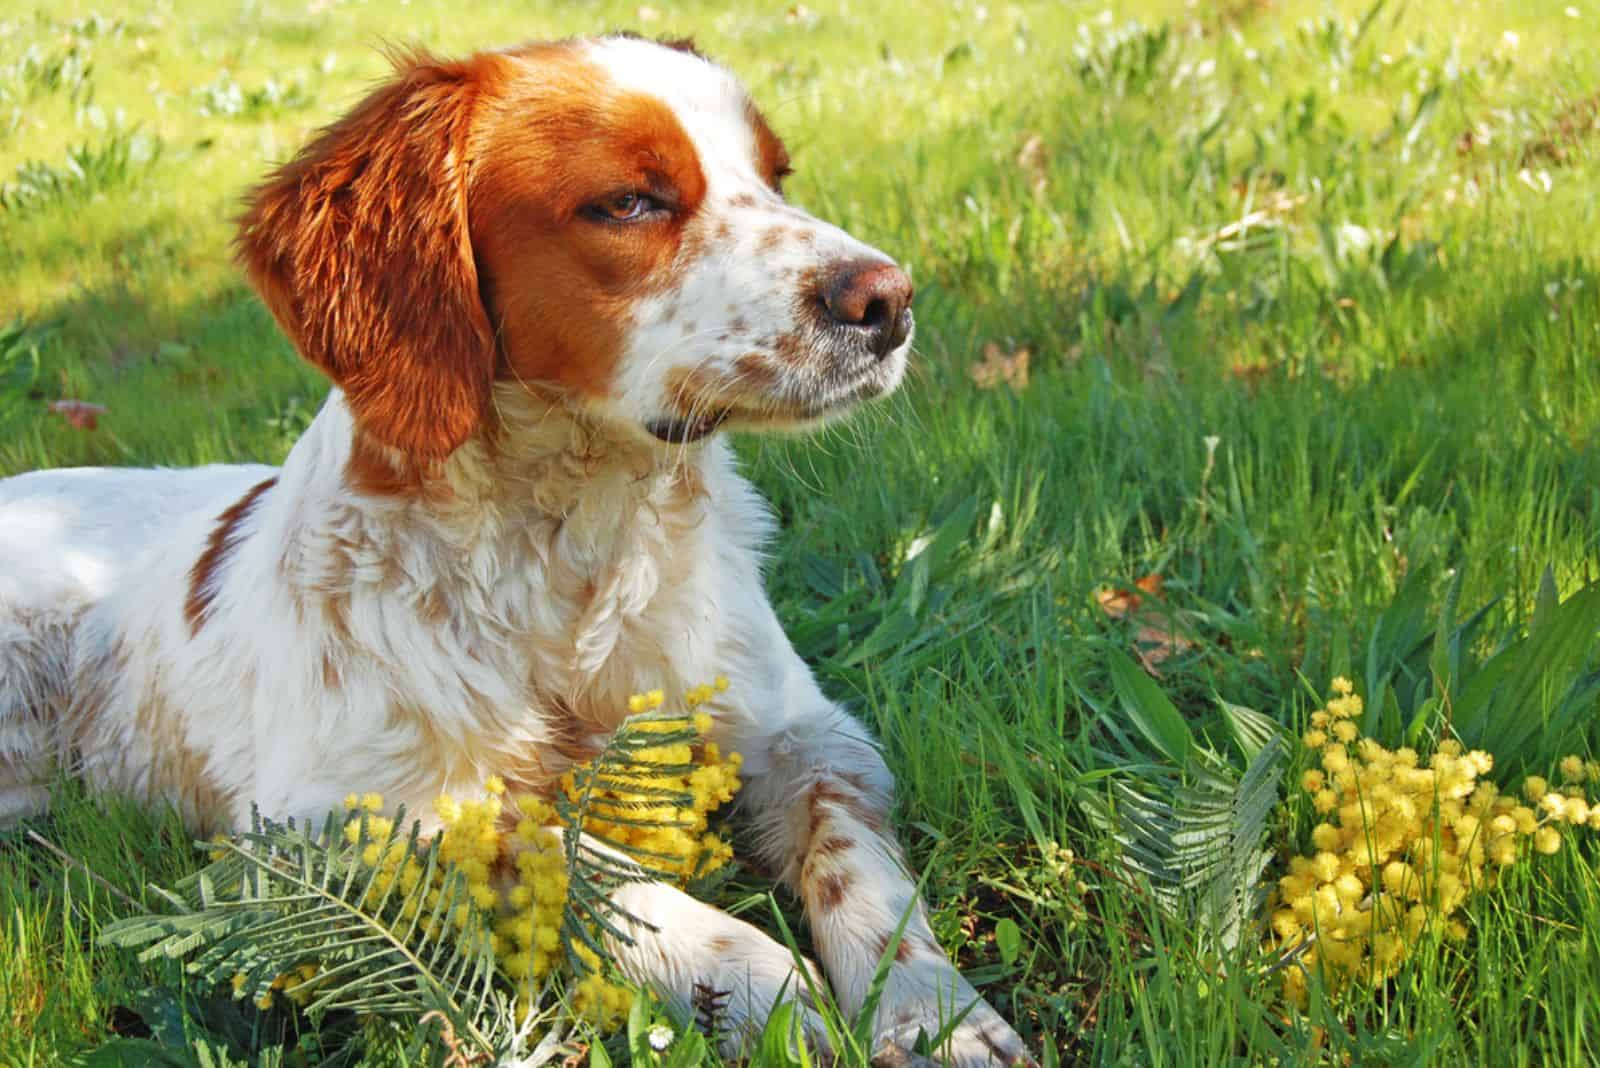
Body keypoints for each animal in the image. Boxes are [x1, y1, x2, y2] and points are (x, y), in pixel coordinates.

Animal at [0, 35, 1036, 1068]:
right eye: (629, 201)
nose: (889, 300)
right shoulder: (331, 813)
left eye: (775, 175)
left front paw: (938, 1008)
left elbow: (862, 863)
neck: (579, 546)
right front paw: (758, 982)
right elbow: (566, 859)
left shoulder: (803, 731)